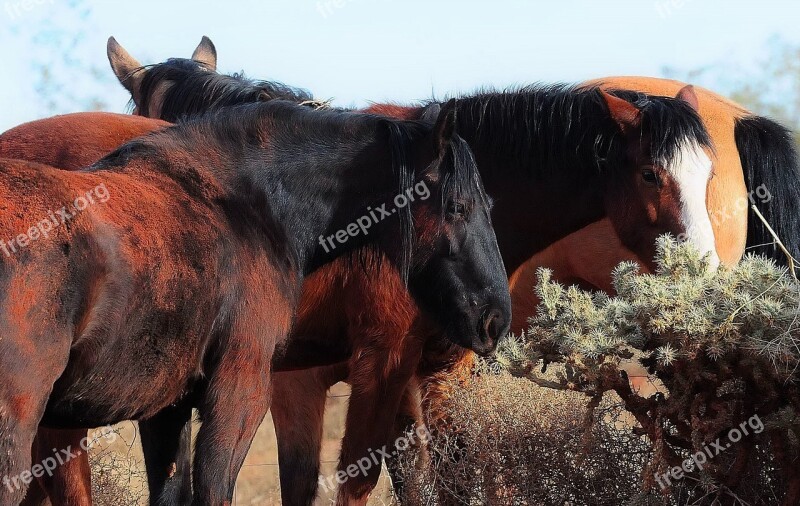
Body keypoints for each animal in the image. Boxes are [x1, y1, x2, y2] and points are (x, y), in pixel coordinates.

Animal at [0, 100, 512, 506]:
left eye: (490, 205)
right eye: (456, 207)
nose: (494, 319)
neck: (242, 205)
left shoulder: (167, 411)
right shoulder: (240, 392)